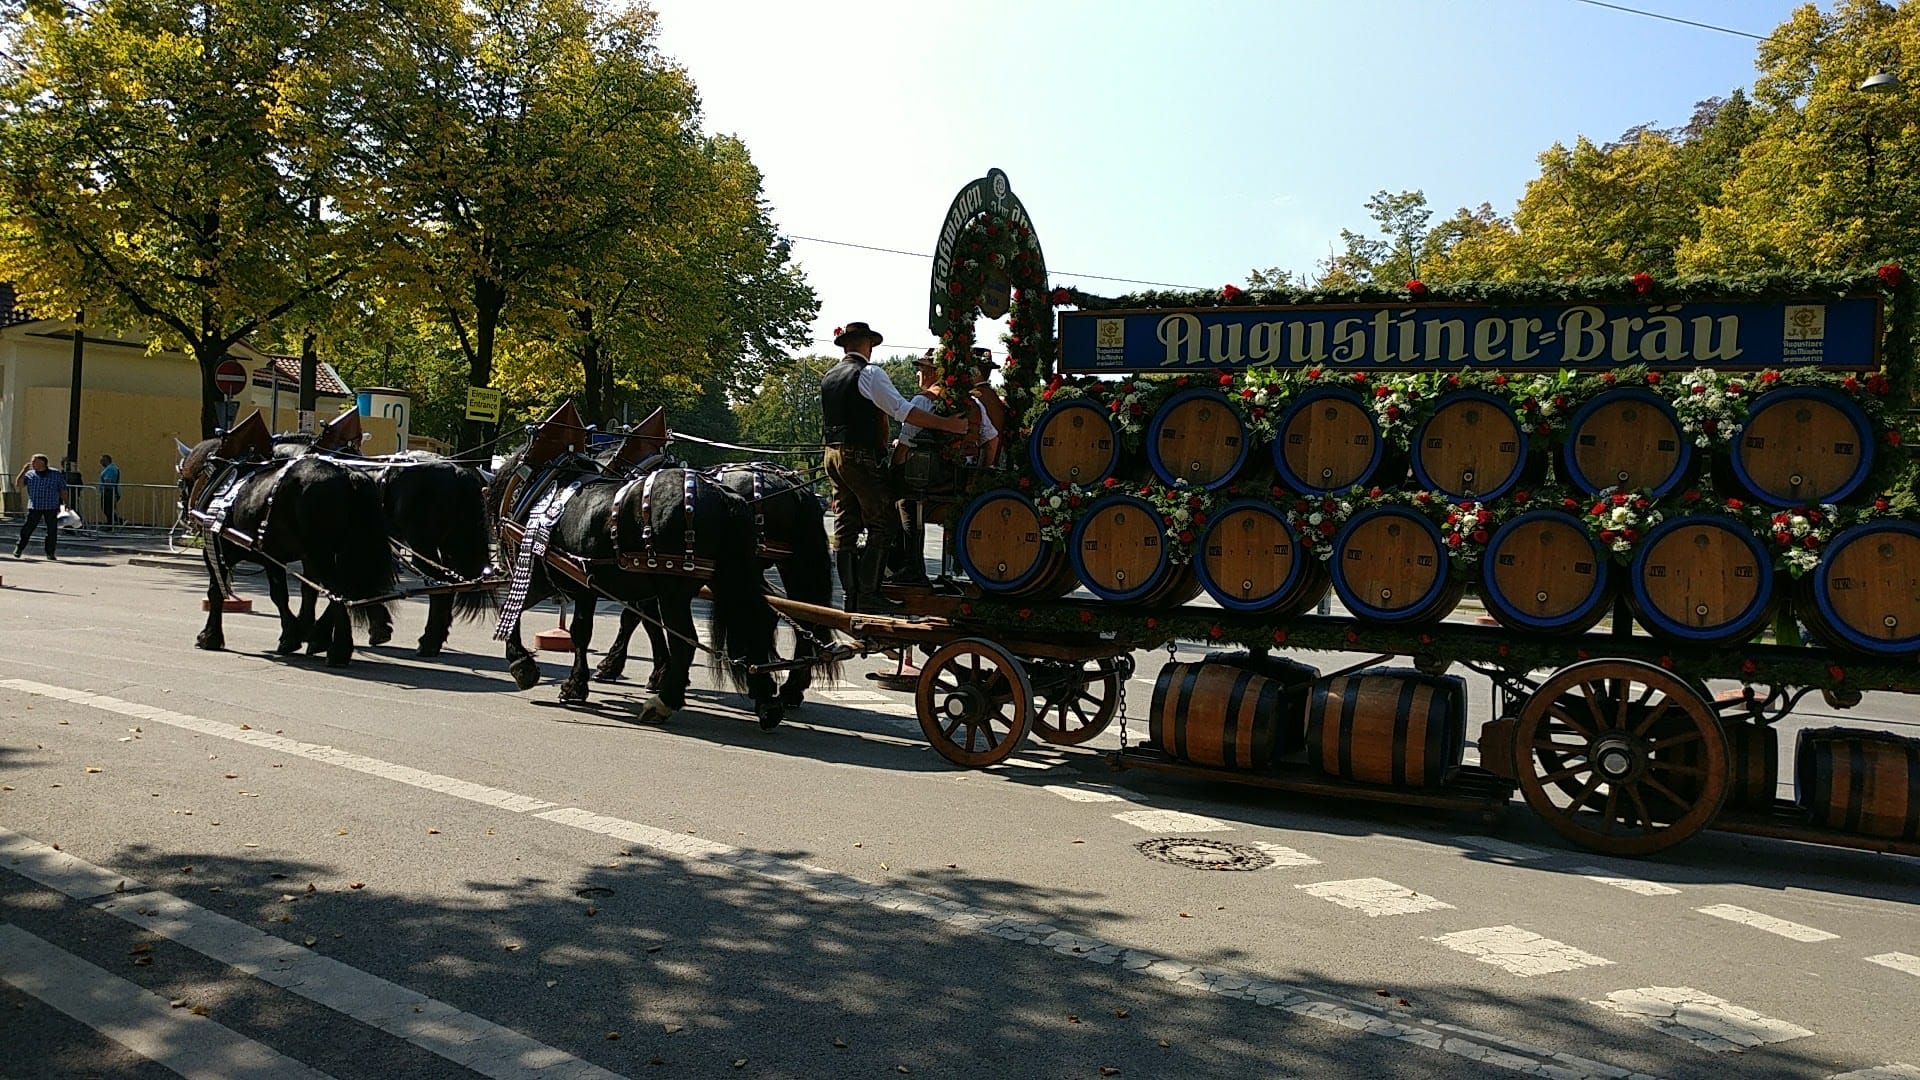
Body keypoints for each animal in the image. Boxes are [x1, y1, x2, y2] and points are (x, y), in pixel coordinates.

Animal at [178, 440, 395, 664]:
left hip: (322, 555)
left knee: (337, 592)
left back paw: (339, 649)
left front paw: (210, 636)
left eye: (180, 482)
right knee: (348, 588)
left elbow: (218, 590)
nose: (184, 515)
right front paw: (296, 632)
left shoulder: (219, 552)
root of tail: (348, 474)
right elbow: (294, 593)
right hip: (342, 554)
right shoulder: (275, 558)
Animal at [495, 441, 794, 726]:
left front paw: (524, 665)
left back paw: (664, 702)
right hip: (730, 580)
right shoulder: (586, 587)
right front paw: (579, 683)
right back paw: (766, 699)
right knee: (753, 624)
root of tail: (724, 496)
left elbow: (513, 612)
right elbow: (586, 630)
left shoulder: (540, 577)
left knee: (686, 641)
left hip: (674, 593)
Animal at [595, 461, 837, 707]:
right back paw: (784, 686)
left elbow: (638, 618)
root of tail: (792, 484)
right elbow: (640, 619)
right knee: (795, 615)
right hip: (786, 564)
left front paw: (642, 671)